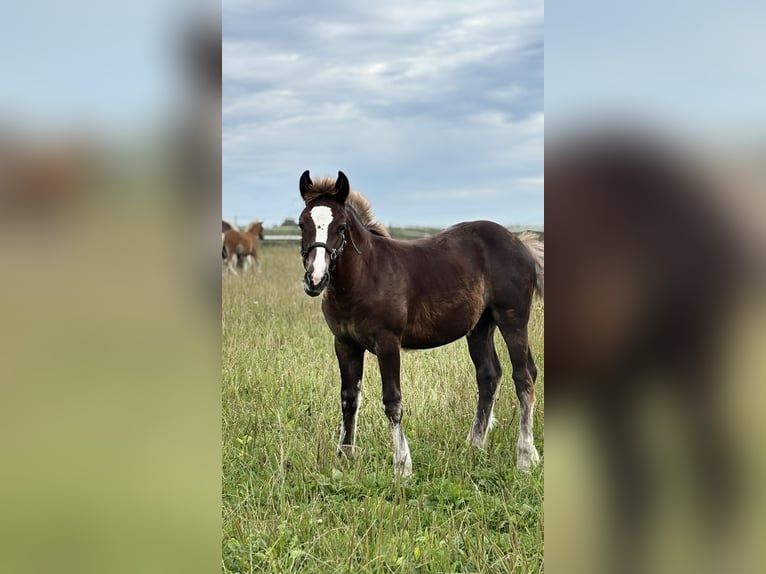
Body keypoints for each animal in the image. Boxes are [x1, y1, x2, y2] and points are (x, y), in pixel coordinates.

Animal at [297, 170, 544, 477]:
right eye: (302, 224)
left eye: (341, 227)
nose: (315, 279)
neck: (364, 276)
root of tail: (521, 243)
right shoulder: (344, 343)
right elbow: (349, 398)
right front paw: (344, 458)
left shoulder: (387, 342)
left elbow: (392, 401)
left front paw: (402, 466)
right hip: (479, 327)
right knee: (489, 375)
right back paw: (475, 447)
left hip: (513, 320)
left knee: (524, 377)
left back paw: (524, 458)